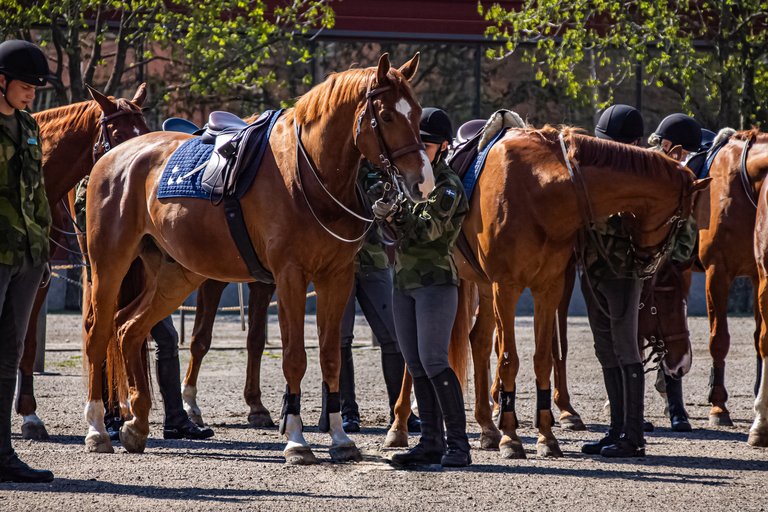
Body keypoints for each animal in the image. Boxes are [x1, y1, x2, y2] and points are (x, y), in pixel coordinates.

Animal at [82, 56, 436, 464]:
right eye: (388, 117)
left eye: (416, 114)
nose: (423, 183)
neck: (307, 174)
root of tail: (113, 158)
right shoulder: (289, 277)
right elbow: (294, 356)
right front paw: (296, 440)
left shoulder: (336, 278)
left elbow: (330, 355)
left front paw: (339, 438)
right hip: (110, 265)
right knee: (98, 333)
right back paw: (97, 428)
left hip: (175, 275)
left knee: (129, 328)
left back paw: (136, 423)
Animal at [450, 127, 708, 456]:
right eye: (680, 218)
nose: (682, 362)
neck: (538, 189)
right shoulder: (506, 287)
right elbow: (510, 359)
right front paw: (511, 436)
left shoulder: (549, 286)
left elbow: (545, 357)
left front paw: (546, 436)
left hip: (483, 286)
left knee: (479, 341)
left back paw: (486, 427)